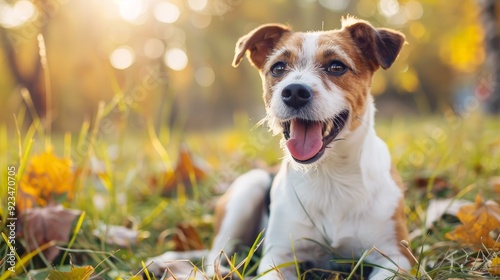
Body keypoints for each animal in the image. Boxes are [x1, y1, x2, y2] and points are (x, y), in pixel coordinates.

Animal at [147, 16, 410, 278]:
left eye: (336, 67)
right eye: (278, 68)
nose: (294, 92)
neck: (330, 177)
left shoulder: (396, 258)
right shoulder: (277, 258)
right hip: (246, 191)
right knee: (215, 257)